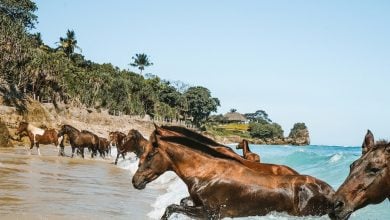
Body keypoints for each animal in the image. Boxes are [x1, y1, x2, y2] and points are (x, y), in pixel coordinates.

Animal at [133, 127, 334, 220]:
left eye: (150, 155)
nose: (135, 181)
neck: (206, 173)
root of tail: (330, 191)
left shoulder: (209, 214)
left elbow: (171, 207)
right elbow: (178, 204)